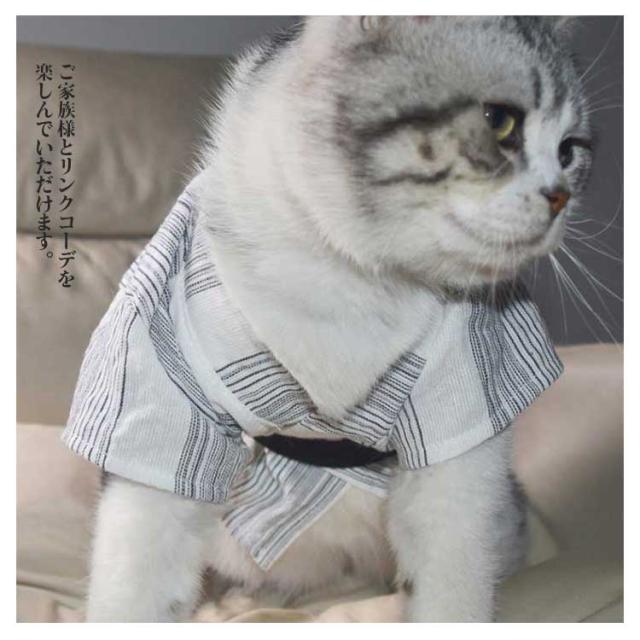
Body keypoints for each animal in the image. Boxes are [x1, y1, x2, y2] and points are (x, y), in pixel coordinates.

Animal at [77, 16, 592, 622]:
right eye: (500, 120)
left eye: (570, 150)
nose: (560, 197)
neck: (347, 281)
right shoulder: (154, 375)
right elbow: (133, 568)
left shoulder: (467, 403)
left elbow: (454, 573)